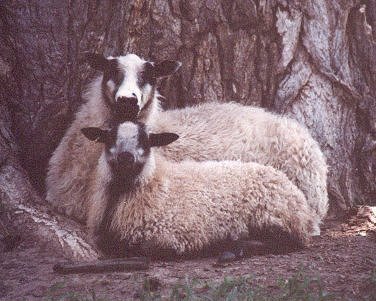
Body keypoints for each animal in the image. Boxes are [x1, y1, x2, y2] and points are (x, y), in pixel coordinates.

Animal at [81, 120, 320, 256]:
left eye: (146, 141)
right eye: (109, 137)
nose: (125, 157)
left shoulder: (169, 235)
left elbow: (144, 248)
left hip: (272, 217)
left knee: (286, 242)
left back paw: (232, 246)